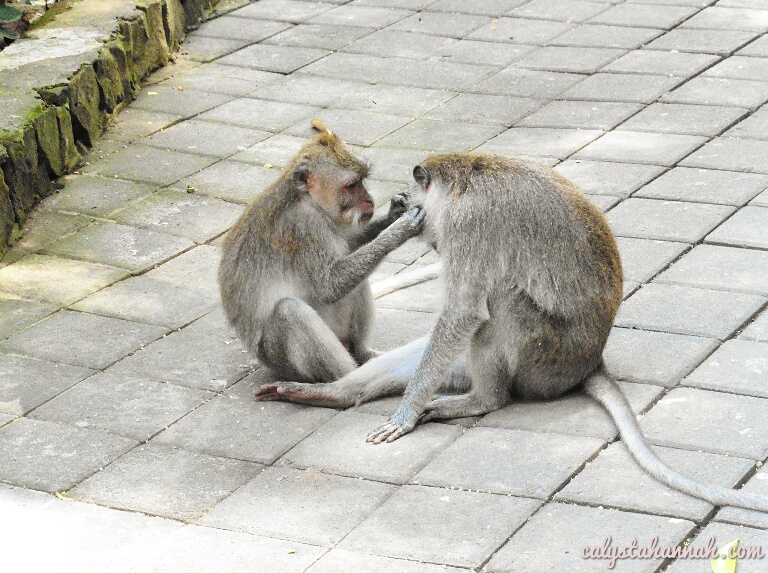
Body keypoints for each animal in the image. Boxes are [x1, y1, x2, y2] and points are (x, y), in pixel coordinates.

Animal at [218, 119, 424, 384]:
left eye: (363, 180)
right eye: (352, 185)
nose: (369, 200)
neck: (309, 200)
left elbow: (348, 250)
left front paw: (394, 213)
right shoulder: (305, 228)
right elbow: (330, 285)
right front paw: (401, 228)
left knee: (359, 282)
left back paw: (364, 355)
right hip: (279, 360)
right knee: (289, 312)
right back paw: (349, 377)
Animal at [256, 152, 768, 513]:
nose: (424, 235)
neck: (461, 179)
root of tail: (592, 360)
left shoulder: (468, 226)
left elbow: (465, 311)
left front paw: (406, 413)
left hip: (544, 360)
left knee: (499, 300)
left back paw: (483, 400)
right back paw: (332, 394)